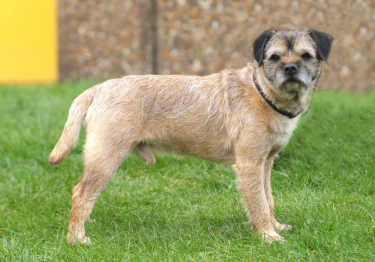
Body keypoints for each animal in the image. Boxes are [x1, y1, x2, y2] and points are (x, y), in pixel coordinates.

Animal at [50, 28, 334, 244]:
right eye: (274, 57)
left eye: (306, 55)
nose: (290, 68)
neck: (262, 93)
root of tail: (99, 88)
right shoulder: (249, 164)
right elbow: (258, 202)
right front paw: (268, 236)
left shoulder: (265, 162)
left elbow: (268, 198)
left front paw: (274, 226)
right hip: (107, 156)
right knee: (81, 193)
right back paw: (77, 239)